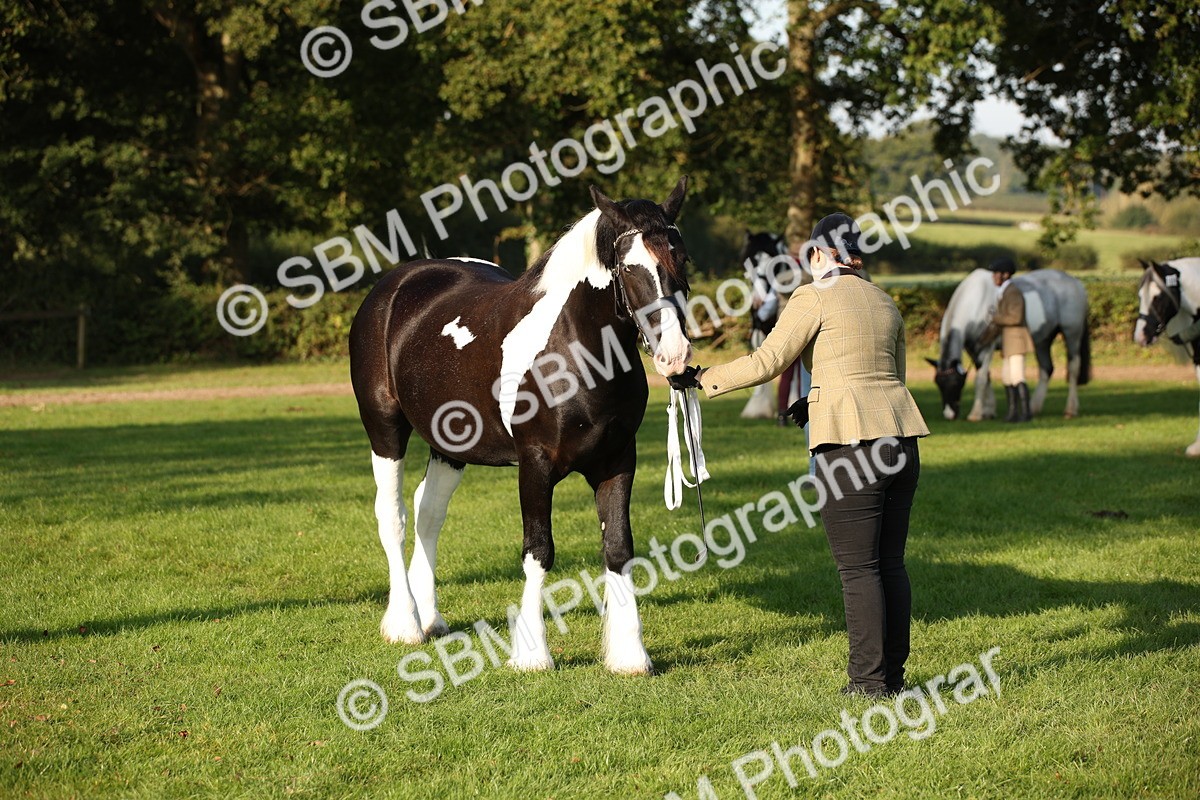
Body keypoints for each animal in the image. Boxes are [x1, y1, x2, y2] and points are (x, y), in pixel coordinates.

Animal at [349, 178, 693, 675]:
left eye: (681, 258)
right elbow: (539, 551)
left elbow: (618, 549)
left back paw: (430, 616)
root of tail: (396, 285)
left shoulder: (616, 462)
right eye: (630, 267)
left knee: (429, 512)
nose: (675, 354)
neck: (573, 352)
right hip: (384, 429)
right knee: (392, 515)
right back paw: (405, 623)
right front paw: (532, 653)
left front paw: (629, 654)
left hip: (449, 446)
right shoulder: (535, 465)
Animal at [927, 268, 1091, 421]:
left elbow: (980, 379)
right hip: (1043, 341)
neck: (976, 302)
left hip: (1072, 334)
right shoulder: (973, 349)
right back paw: (1034, 407)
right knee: (1047, 369)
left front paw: (976, 413)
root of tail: (1075, 282)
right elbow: (986, 377)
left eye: (956, 383)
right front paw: (989, 411)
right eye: (938, 383)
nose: (949, 414)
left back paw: (1070, 410)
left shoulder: (987, 347)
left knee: (1073, 368)